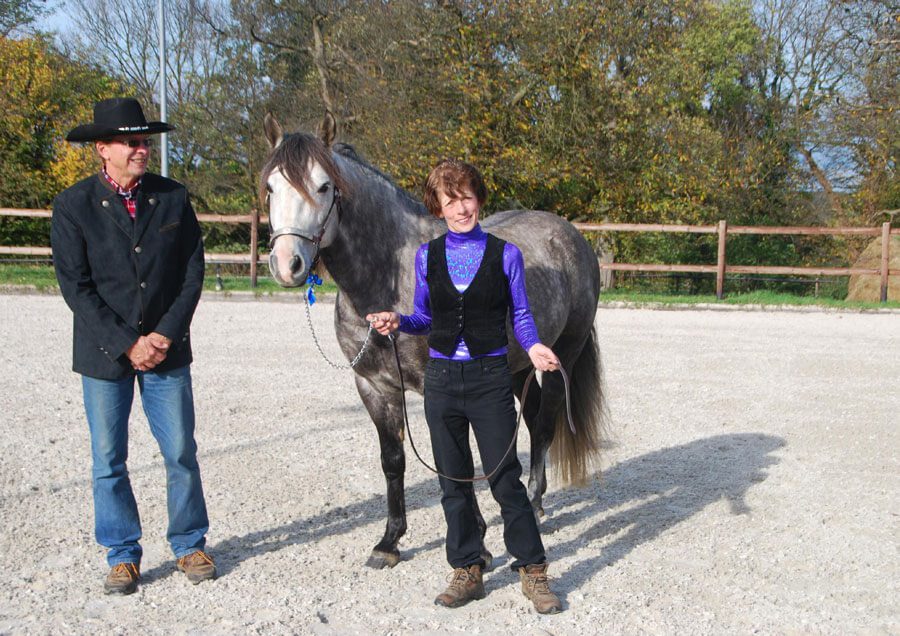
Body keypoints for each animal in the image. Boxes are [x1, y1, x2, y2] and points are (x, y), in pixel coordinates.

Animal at [264, 114, 608, 572]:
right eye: (271, 187)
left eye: (323, 186)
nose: (288, 264)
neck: (390, 278)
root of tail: (573, 237)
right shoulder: (374, 387)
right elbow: (393, 461)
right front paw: (389, 542)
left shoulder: (436, 388)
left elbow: (454, 463)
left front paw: (478, 543)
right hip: (517, 368)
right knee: (532, 421)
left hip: (560, 361)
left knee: (544, 424)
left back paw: (534, 506)